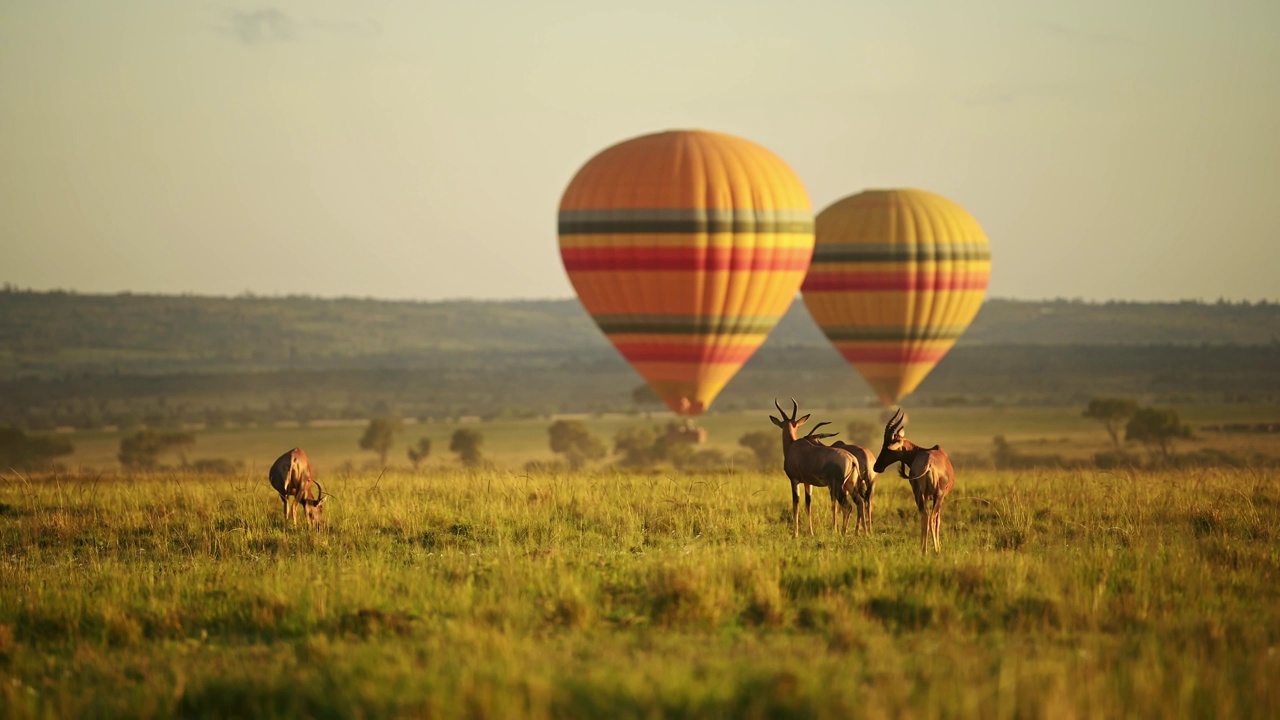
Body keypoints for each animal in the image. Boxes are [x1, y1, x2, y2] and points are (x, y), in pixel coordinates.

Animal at [768, 397, 860, 538]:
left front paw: (795, 534)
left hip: (838, 487)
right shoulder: (808, 483)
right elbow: (808, 505)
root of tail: (852, 459)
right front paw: (810, 533)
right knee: (859, 502)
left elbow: (796, 504)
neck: (793, 446)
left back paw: (843, 532)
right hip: (850, 485)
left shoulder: (794, 480)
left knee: (847, 506)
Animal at [875, 407, 957, 550]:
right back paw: (934, 550)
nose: (876, 467)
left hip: (919, 494)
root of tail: (929, 464)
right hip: (937, 495)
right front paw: (938, 547)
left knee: (924, 516)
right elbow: (938, 520)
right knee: (931, 518)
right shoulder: (941, 497)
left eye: (887, 447)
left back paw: (923, 549)